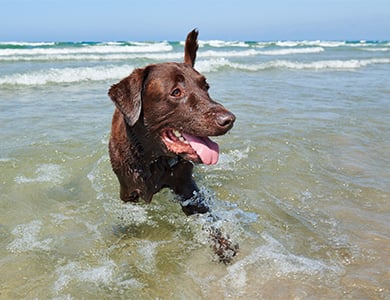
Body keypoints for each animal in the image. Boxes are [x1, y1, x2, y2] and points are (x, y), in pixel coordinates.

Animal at [107, 29, 235, 214]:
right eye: (176, 92)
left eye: (206, 88)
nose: (229, 120)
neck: (151, 158)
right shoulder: (127, 190)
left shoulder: (186, 185)